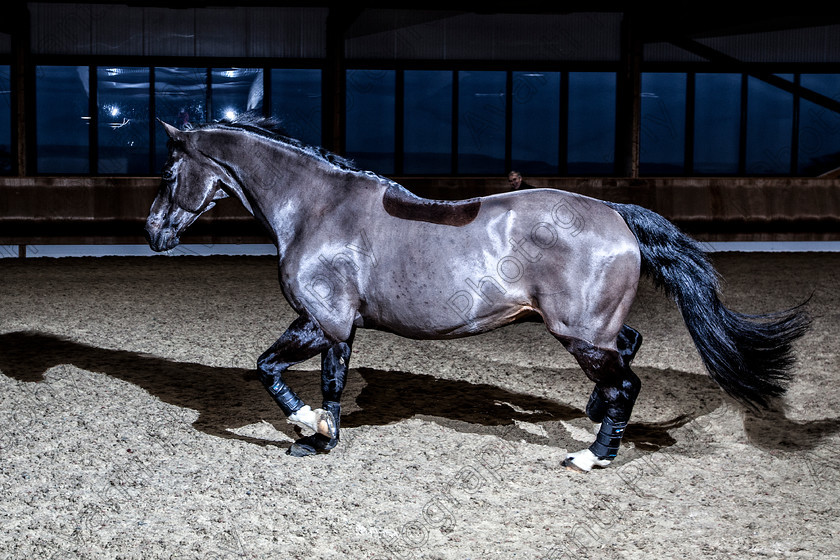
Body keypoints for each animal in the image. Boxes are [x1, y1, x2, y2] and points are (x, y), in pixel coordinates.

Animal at [143, 115, 808, 472]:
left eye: (170, 171)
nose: (153, 233)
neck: (316, 209)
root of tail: (616, 214)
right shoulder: (327, 324)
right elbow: (308, 376)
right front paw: (317, 435)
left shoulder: (324, 319)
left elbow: (281, 371)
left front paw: (315, 429)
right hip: (592, 329)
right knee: (628, 352)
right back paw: (596, 417)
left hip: (577, 334)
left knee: (627, 380)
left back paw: (594, 455)